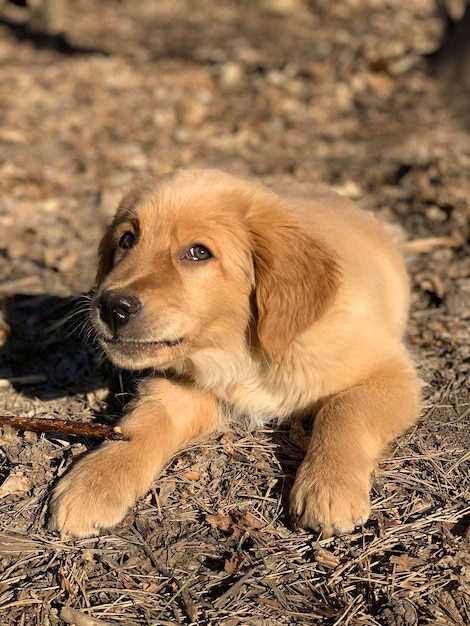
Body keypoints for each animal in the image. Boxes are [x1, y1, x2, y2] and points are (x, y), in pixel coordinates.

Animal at [49, 167, 420, 536]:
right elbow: (143, 420)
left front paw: (329, 486)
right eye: (127, 240)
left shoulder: (392, 371)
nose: (113, 307)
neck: (246, 354)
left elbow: (345, 409)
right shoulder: (182, 385)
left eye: (198, 252)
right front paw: (95, 481)